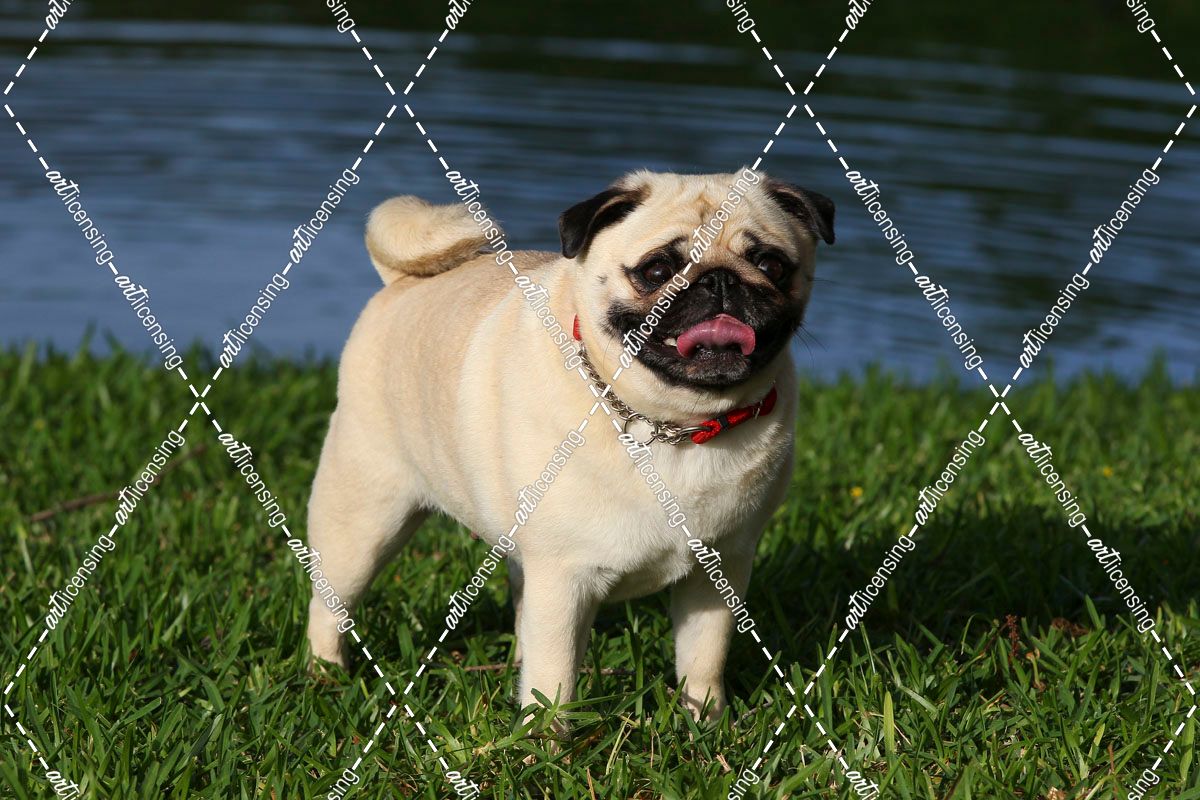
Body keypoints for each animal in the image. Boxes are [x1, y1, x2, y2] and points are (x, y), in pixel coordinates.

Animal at [306, 168, 834, 722]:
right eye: (658, 270)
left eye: (771, 265)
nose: (720, 280)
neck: (674, 426)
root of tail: (401, 281)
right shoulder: (563, 578)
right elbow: (554, 679)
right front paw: (544, 738)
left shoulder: (718, 571)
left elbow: (703, 658)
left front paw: (705, 722)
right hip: (364, 521)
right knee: (330, 603)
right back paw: (326, 673)